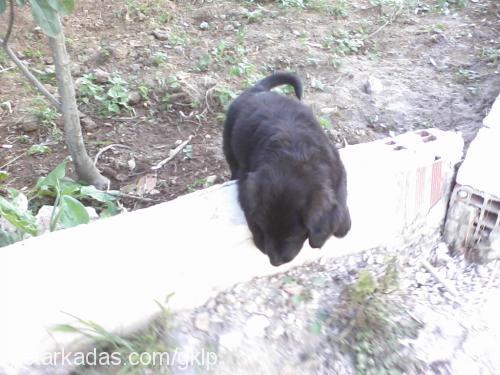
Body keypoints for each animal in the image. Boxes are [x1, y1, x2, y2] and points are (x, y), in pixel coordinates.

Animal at [224, 72, 352, 268]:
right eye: (263, 227)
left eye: (293, 234)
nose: (275, 262)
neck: (295, 156)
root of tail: (257, 89)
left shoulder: (338, 168)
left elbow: (341, 194)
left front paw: (342, 225)